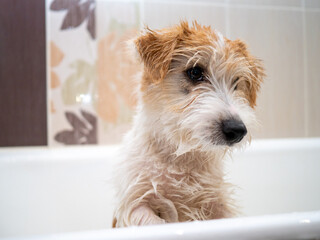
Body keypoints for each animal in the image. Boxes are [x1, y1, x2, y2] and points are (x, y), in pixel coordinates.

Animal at [112, 21, 264, 228]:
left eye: (236, 82)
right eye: (195, 72)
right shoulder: (135, 204)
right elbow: (154, 220)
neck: (181, 157)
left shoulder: (217, 204)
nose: (237, 130)